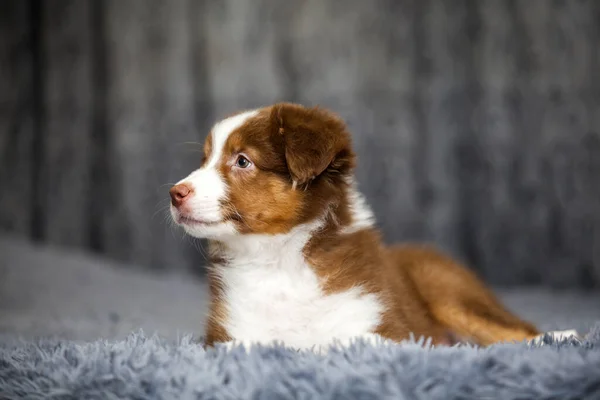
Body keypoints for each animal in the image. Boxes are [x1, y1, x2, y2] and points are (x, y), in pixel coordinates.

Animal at [169, 104, 576, 354]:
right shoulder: (231, 335)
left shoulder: (380, 326)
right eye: (204, 160)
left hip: (447, 290)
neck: (279, 258)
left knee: (511, 331)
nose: (175, 193)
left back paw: (563, 335)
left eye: (242, 161)